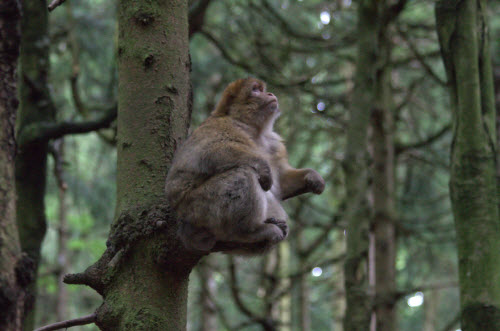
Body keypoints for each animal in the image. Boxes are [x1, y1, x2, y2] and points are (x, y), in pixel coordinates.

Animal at [166, 78, 326, 254]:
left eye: (263, 89)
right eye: (256, 90)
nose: (270, 93)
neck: (254, 129)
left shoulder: (274, 144)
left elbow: (283, 182)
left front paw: (312, 176)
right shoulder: (219, 126)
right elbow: (209, 152)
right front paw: (263, 167)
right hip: (199, 209)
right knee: (244, 173)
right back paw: (249, 231)